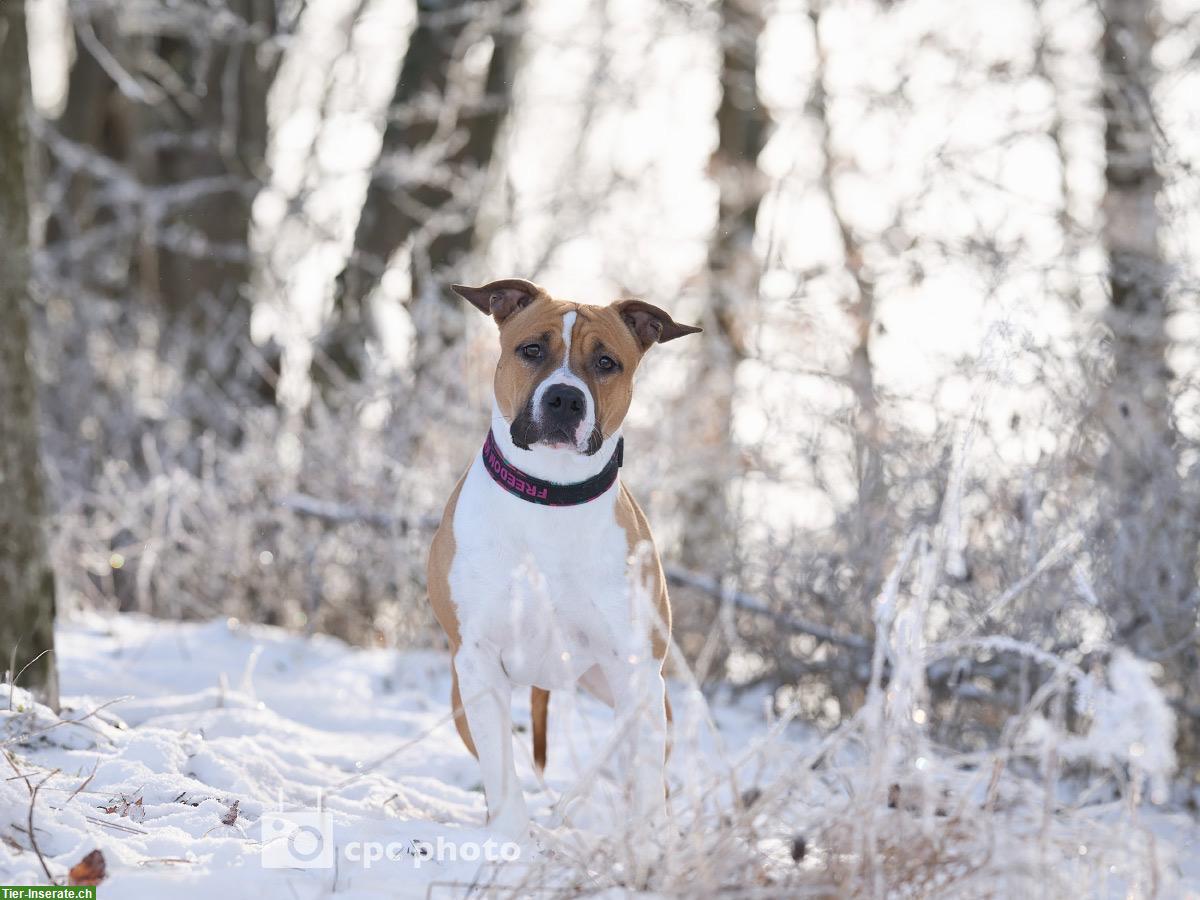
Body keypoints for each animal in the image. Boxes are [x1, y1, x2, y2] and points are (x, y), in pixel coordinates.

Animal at [427, 277, 700, 840]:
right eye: (531, 349)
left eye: (606, 362)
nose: (564, 398)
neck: (551, 495)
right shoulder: (478, 662)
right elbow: (501, 769)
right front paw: (511, 840)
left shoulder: (638, 669)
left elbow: (644, 775)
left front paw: (648, 844)